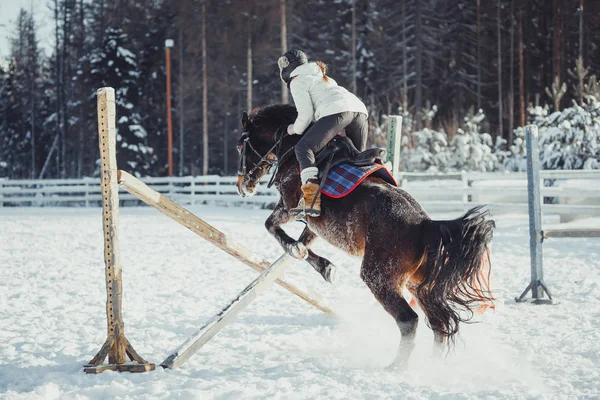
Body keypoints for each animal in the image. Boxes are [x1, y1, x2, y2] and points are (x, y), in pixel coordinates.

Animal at [237, 104, 494, 368]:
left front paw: (297, 251)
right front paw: (324, 267)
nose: (243, 186)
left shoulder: (289, 207)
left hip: (378, 276)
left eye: (240, 147)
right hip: (418, 284)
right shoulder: (315, 223)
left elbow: (272, 227)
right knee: (439, 323)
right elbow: (304, 244)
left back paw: (396, 367)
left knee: (409, 320)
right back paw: (432, 365)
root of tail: (425, 224)